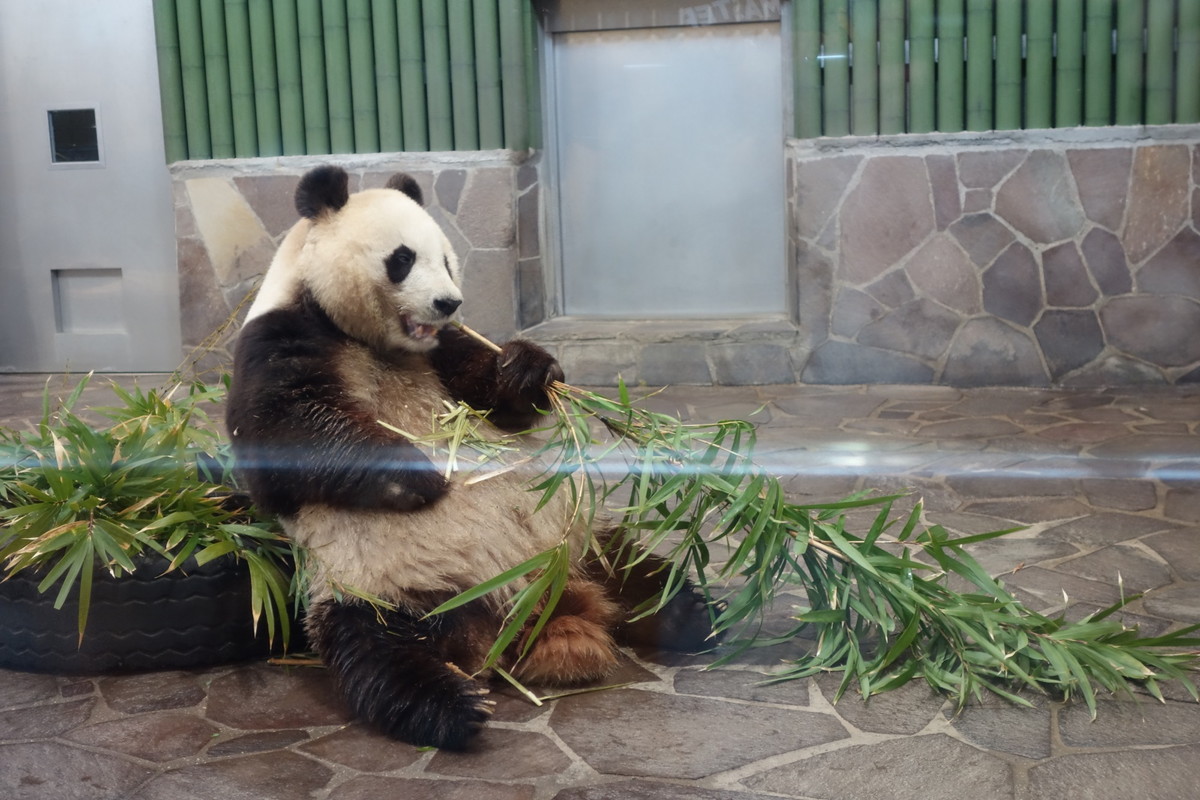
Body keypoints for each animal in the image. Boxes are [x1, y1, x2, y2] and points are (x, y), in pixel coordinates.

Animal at [225, 165, 715, 753]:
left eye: (447, 259)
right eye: (403, 258)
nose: (448, 303)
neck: (375, 343)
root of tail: (535, 609)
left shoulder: (445, 350)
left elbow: (498, 399)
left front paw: (529, 369)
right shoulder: (279, 340)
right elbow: (280, 442)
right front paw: (421, 478)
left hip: (578, 540)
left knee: (638, 571)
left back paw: (693, 615)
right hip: (379, 586)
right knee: (379, 652)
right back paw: (454, 708)